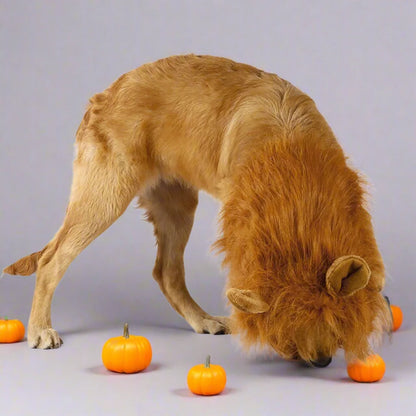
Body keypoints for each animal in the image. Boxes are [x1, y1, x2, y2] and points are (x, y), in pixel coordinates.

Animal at [3, 55, 390, 368]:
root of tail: (104, 94)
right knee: (51, 259)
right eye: (290, 329)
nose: (321, 361)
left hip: (177, 207)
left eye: (329, 316)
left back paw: (203, 320)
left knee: (166, 272)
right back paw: (40, 330)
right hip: (105, 196)